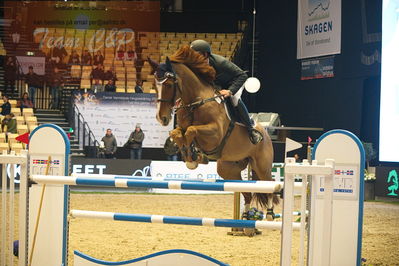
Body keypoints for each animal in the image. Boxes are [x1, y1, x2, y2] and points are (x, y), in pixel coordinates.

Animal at [149, 45, 278, 220]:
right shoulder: (181, 128)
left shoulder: (215, 134)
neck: (195, 102)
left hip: (262, 165)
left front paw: (193, 157)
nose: (161, 118)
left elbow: (191, 130)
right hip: (228, 169)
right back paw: (245, 217)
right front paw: (190, 155)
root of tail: (265, 134)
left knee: (269, 185)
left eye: (168, 85)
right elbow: (177, 134)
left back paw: (270, 214)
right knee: (247, 193)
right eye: (155, 85)